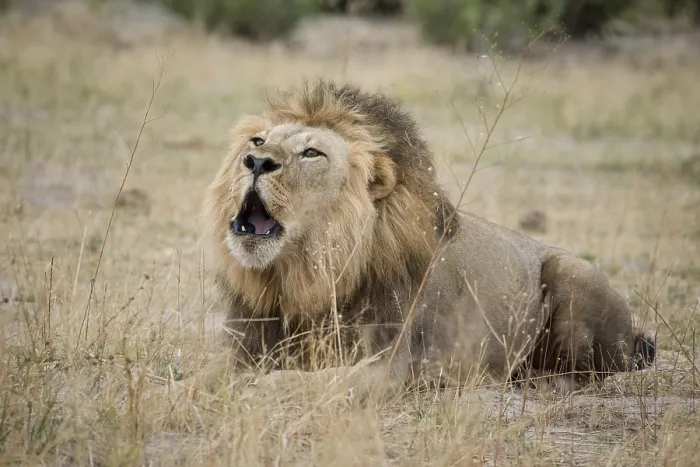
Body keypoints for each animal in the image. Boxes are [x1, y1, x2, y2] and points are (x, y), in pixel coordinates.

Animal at [201, 79, 655, 401]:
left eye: (312, 153)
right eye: (258, 141)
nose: (256, 161)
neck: (303, 275)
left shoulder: (388, 364)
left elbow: (315, 381)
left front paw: (262, 387)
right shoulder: (244, 342)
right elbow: (207, 370)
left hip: (572, 273)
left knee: (588, 376)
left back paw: (537, 382)